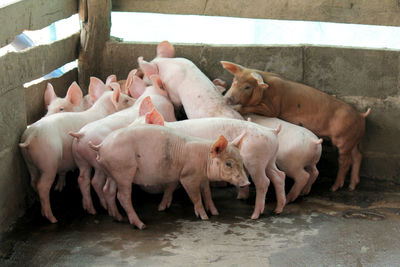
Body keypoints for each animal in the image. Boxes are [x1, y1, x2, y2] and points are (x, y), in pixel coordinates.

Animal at [19, 80, 135, 223]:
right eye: (126, 99)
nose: (136, 100)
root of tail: (30, 137)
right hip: (48, 162)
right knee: (43, 186)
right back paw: (52, 218)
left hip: (29, 163)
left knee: (34, 182)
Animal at [90, 124, 250, 229]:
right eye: (228, 163)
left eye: (242, 160)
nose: (247, 183)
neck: (204, 160)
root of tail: (101, 146)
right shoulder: (188, 176)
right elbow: (196, 196)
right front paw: (204, 217)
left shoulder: (202, 178)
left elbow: (207, 194)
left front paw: (216, 213)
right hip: (123, 171)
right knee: (122, 196)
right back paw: (141, 225)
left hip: (111, 172)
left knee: (108, 190)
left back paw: (117, 218)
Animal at [220, 61, 370, 193]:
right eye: (234, 81)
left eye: (247, 87)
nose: (227, 98)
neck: (266, 90)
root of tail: (361, 116)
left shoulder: (272, 108)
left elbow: (250, 108)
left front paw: (237, 108)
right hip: (352, 140)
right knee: (358, 156)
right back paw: (352, 186)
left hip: (342, 140)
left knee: (345, 161)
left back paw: (334, 188)